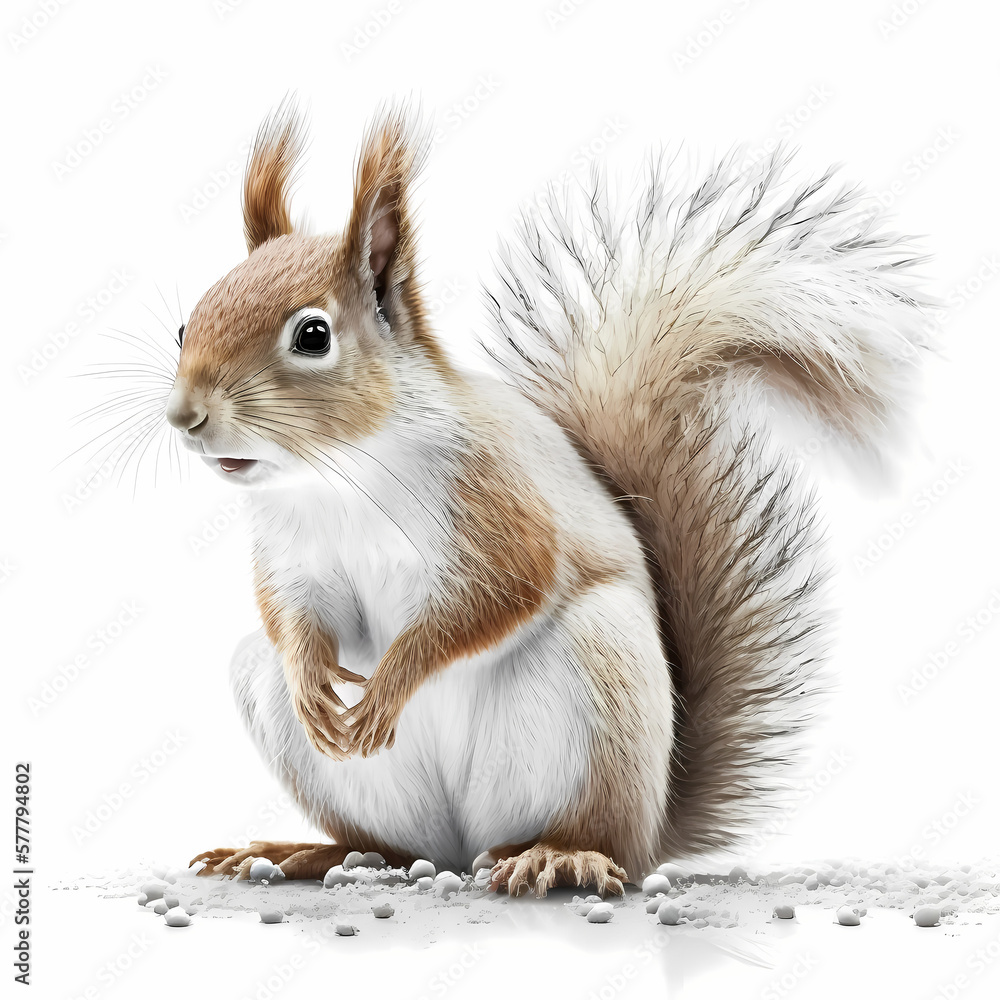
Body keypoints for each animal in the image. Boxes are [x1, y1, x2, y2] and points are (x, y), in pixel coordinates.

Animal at [169, 101, 930, 897]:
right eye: (187, 323)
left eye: (312, 335)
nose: (184, 416)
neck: (335, 475)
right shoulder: (293, 553)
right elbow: (296, 616)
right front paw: (310, 678)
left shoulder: (496, 497)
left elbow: (505, 589)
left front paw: (390, 685)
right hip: (331, 755)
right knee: (390, 844)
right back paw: (311, 853)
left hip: (598, 677)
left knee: (588, 833)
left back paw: (558, 855)